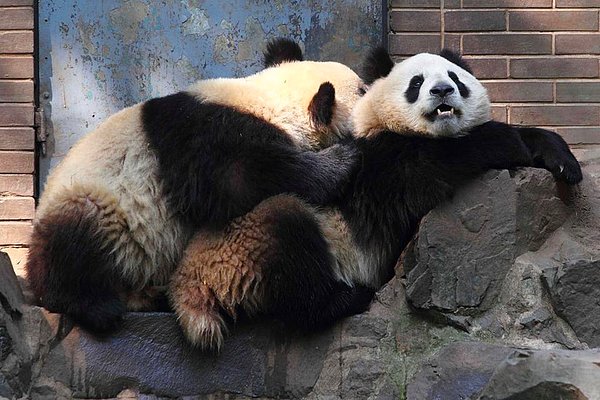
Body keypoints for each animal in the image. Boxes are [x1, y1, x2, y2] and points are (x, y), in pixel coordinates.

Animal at [171, 45, 584, 348]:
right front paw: (506, 141)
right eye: (417, 82)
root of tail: (187, 286)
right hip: (241, 255)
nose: (442, 91)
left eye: (455, 77)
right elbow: (437, 163)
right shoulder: (380, 165)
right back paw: (348, 298)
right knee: (286, 227)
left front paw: (562, 161)